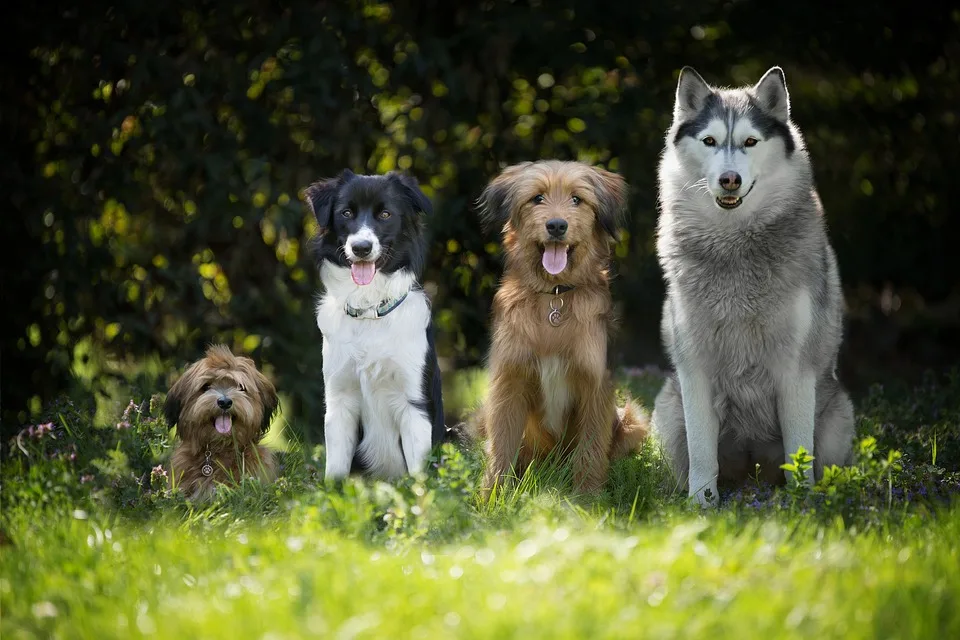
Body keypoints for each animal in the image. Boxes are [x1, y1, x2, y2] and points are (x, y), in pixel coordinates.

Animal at [474, 158, 648, 498]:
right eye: (537, 198)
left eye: (577, 199)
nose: (556, 225)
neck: (554, 296)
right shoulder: (509, 382)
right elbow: (501, 448)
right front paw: (492, 497)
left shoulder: (595, 384)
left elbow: (591, 450)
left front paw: (587, 498)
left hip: (633, 419)